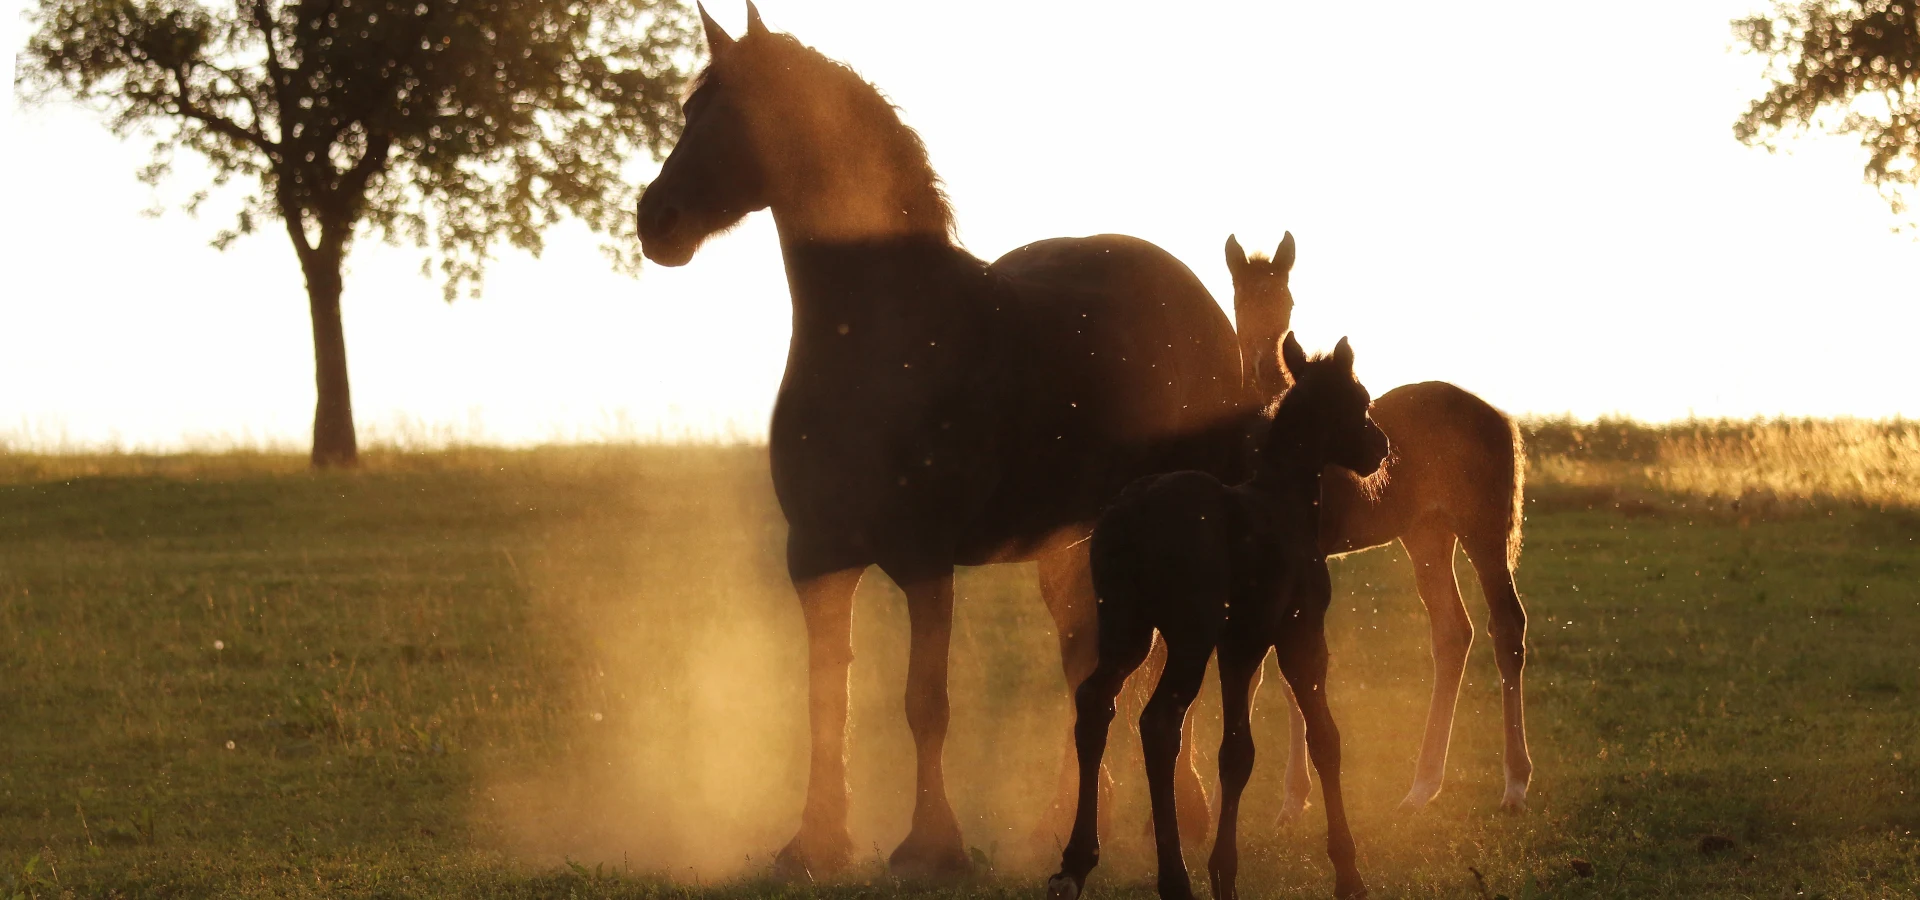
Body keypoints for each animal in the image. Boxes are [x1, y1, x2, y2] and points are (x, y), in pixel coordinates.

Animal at [633, 3, 1244, 875]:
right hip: (1072, 548)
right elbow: (826, 701)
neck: (880, 336)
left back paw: (1187, 813)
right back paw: (1060, 821)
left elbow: (925, 702)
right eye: (691, 111)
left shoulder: (924, 559)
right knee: (1089, 667)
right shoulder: (816, 556)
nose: (658, 221)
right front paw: (814, 842)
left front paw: (931, 843)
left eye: (737, 115)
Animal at [1059, 333, 1390, 898]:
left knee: (1095, 703)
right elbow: (1324, 738)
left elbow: (1236, 753)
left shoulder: (1241, 645)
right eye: (1361, 400)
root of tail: (1128, 518)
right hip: (1189, 638)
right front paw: (1348, 871)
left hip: (1128, 630)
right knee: (1159, 723)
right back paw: (1173, 877)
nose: (1380, 447)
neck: (1286, 503)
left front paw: (1224, 872)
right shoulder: (1300, 634)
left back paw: (1077, 861)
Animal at [1228, 231, 1528, 813]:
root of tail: (1498, 416)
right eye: (1238, 301)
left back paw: (1515, 783)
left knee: (1507, 627)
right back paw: (1421, 786)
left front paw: (1293, 798)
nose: (1258, 361)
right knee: (1452, 633)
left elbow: (1293, 672)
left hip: (1481, 531)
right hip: (1427, 535)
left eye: (1287, 301)